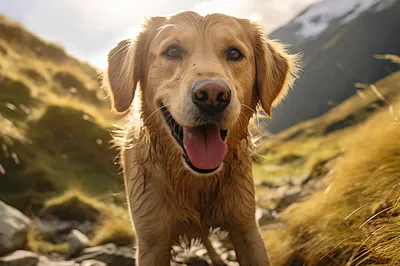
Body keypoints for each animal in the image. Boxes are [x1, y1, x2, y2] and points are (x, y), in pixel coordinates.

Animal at [101, 10, 298, 266]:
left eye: (234, 53)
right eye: (172, 51)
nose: (213, 96)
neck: (194, 180)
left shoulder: (245, 226)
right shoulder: (151, 240)